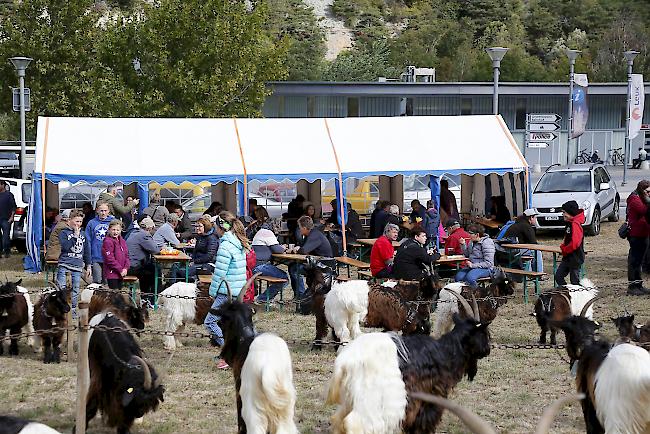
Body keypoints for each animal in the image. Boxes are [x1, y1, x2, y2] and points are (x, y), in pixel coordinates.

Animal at [209, 278, 298, 434]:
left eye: (220, 322)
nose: (223, 355)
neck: (245, 337)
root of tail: (269, 369)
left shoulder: (239, 388)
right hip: (285, 408)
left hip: (253, 408)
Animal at [326, 290, 488, 432]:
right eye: (484, 333)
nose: (487, 349)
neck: (446, 351)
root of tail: (347, 362)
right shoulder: (431, 401)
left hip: (352, 399)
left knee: (338, 420)